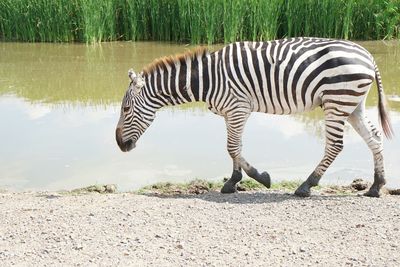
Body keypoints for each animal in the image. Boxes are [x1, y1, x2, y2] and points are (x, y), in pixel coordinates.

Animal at [115, 37, 394, 197]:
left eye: (125, 110)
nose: (119, 144)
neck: (207, 80)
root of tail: (368, 55)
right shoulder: (232, 112)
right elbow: (236, 147)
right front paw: (233, 182)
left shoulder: (238, 108)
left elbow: (231, 147)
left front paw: (259, 178)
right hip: (352, 104)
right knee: (374, 138)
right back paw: (376, 186)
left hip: (336, 102)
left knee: (335, 145)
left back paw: (306, 186)